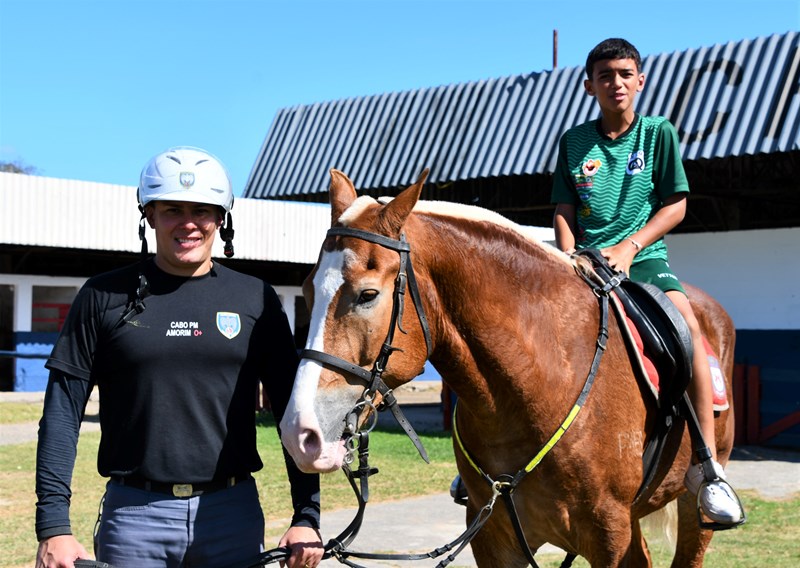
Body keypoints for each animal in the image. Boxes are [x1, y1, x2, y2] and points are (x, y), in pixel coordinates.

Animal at [278, 169, 736, 568]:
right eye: (306, 292)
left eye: (368, 294)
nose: (300, 435)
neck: (537, 385)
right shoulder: (496, 539)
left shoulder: (613, 538)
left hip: (691, 514)